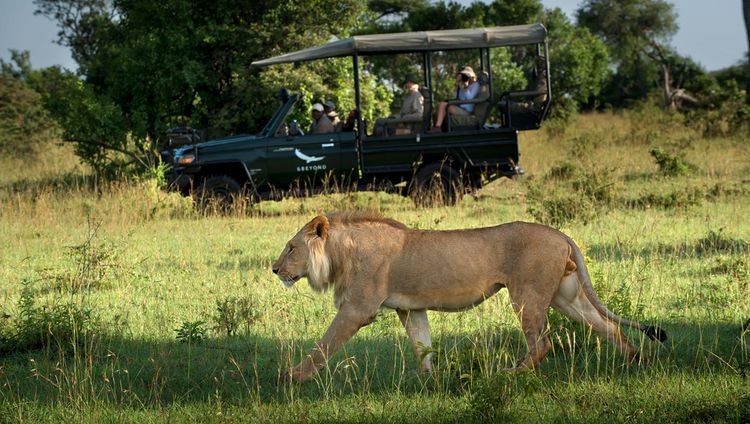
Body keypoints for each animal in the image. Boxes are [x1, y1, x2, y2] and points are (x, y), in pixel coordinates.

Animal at [274, 212, 668, 380]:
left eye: (291, 248)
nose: (275, 270)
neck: (341, 253)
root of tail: (561, 234)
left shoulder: (357, 308)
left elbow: (324, 344)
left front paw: (293, 376)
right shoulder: (410, 310)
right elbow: (422, 345)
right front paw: (427, 382)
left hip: (526, 295)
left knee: (542, 344)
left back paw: (507, 373)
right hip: (566, 297)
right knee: (607, 326)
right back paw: (638, 360)